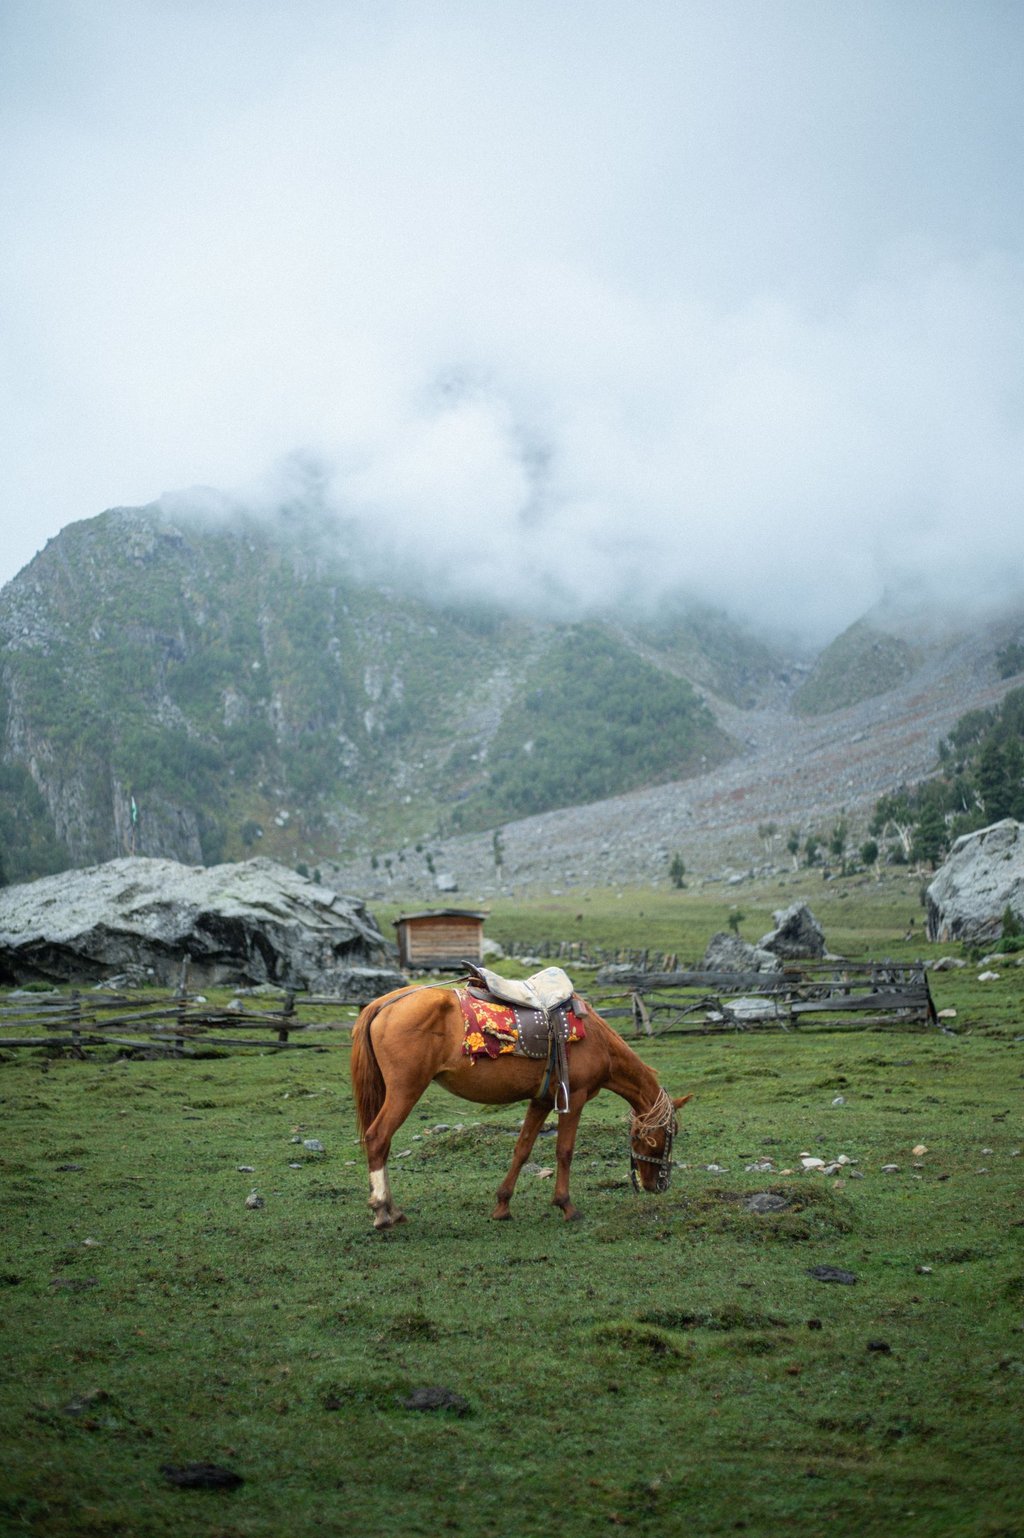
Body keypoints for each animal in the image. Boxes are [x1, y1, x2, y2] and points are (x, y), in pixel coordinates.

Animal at [350, 984, 691, 1228]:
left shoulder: (541, 1100)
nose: (658, 1184)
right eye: (665, 1134)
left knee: (383, 1144)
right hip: (405, 1090)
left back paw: (394, 1210)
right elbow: (564, 1151)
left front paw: (502, 1205)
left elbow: (522, 1148)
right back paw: (382, 1212)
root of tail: (384, 1004)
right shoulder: (575, 1097)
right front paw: (566, 1206)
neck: (597, 1040)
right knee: (378, 1138)